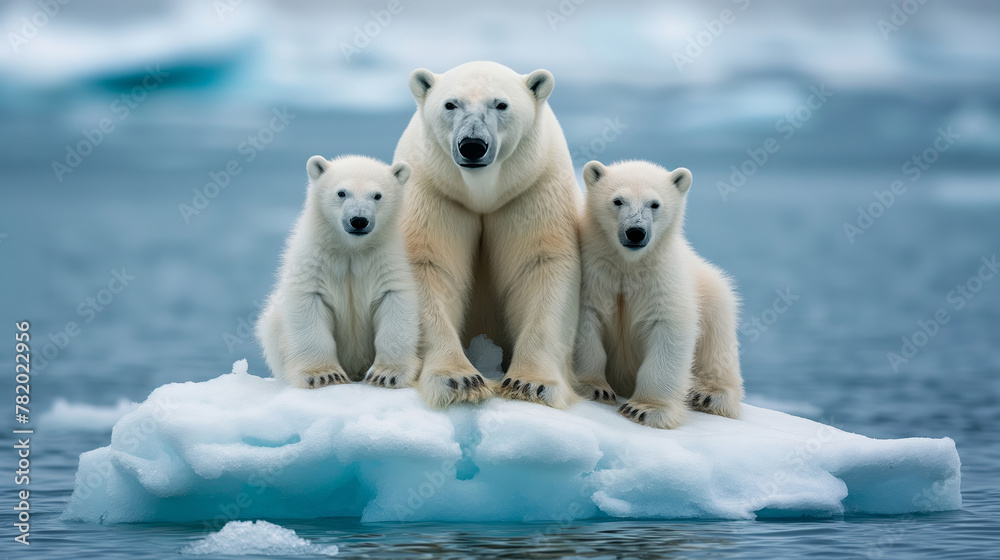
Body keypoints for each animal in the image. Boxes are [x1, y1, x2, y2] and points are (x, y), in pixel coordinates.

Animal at [256, 155, 422, 390]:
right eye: (342, 193)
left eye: (377, 195)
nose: (359, 220)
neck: (351, 249)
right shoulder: (314, 263)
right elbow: (308, 308)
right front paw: (323, 375)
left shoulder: (385, 262)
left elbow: (394, 303)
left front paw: (387, 375)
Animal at [394, 61, 582, 410]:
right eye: (450, 104)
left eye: (501, 104)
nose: (472, 145)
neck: (482, 194)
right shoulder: (433, 190)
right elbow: (427, 266)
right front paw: (460, 380)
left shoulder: (531, 190)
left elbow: (541, 266)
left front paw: (530, 384)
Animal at [574, 159, 744, 429]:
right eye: (618, 200)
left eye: (654, 204)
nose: (635, 232)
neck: (629, 264)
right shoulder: (595, 273)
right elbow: (587, 322)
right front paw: (594, 388)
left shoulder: (662, 280)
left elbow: (669, 330)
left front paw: (645, 409)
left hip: (713, 294)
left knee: (717, 345)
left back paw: (707, 395)